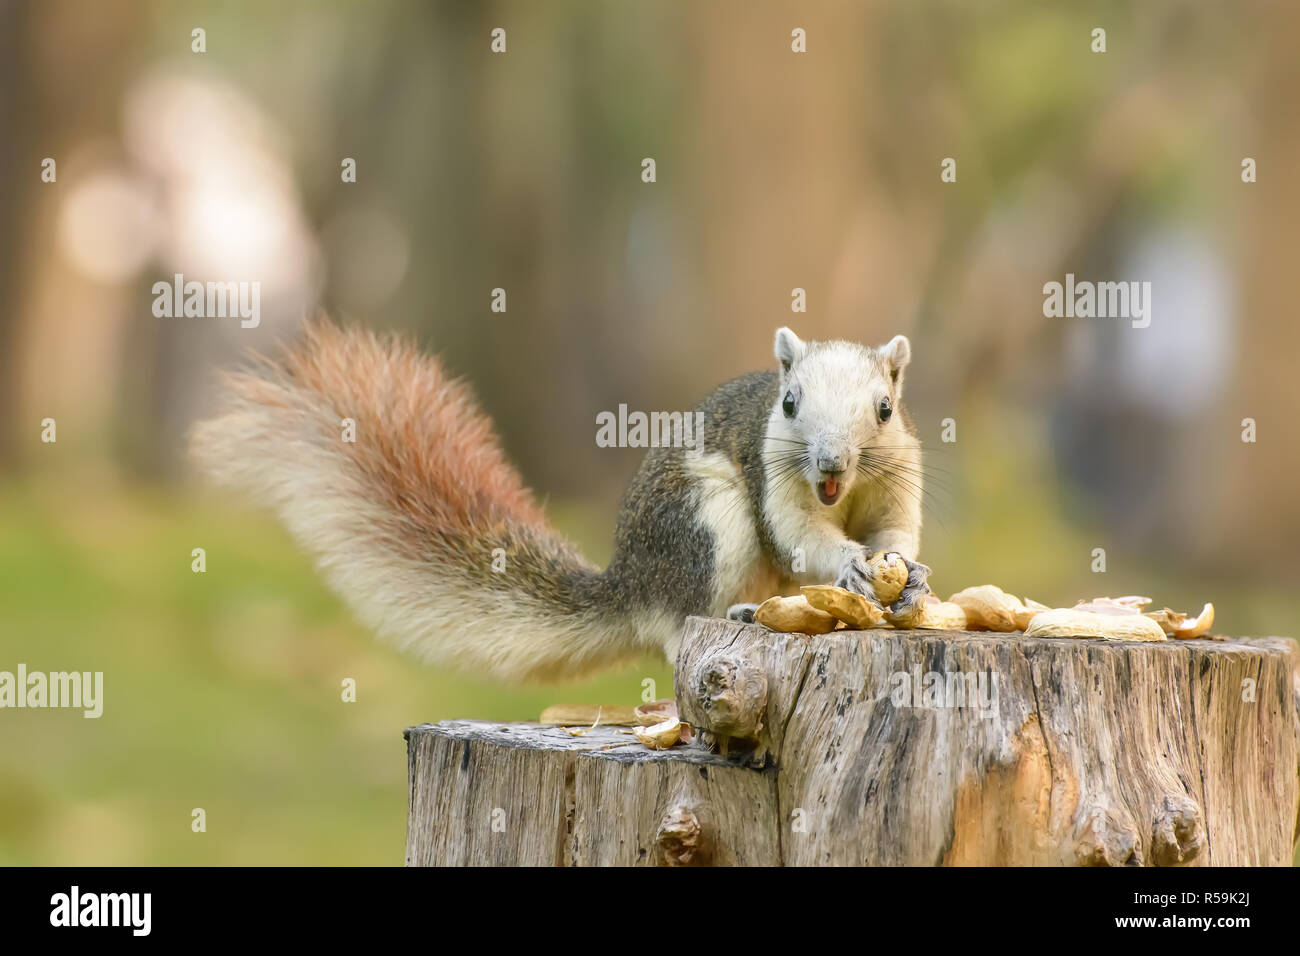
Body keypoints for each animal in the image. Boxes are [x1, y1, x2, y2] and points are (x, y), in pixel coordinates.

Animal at [190, 320, 931, 682]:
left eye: (885, 408)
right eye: (790, 404)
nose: (830, 462)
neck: (840, 494)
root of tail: (630, 583)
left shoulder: (896, 480)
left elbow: (896, 530)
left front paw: (906, 573)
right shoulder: (775, 482)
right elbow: (801, 537)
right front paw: (851, 564)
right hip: (705, 524)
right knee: (681, 625)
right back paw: (742, 613)